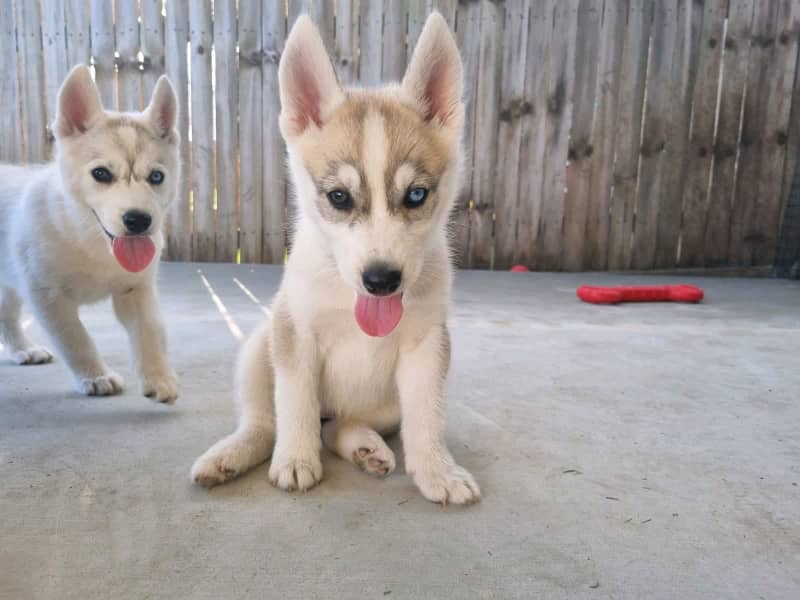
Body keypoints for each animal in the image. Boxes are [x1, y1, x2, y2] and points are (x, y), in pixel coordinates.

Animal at [0, 65, 180, 404]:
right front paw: (96, 376)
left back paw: (23, 350)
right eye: (101, 174)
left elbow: (151, 330)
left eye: (156, 177)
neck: (88, 239)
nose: (139, 220)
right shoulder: (47, 295)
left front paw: (158, 376)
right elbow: (76, 338)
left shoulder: (136, 289)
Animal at [192, 11, 482, 504]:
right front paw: (295, 459)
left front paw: (437, 470)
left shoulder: (427, 345)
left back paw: (365, 446)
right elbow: (296, 407)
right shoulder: (296, 335)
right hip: (259, 349)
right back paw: (231, 454)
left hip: (384, 405)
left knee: (339, 425)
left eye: (416, 195)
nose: (381, 280)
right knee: (266, 422)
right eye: (339, 197)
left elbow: (427, 417)